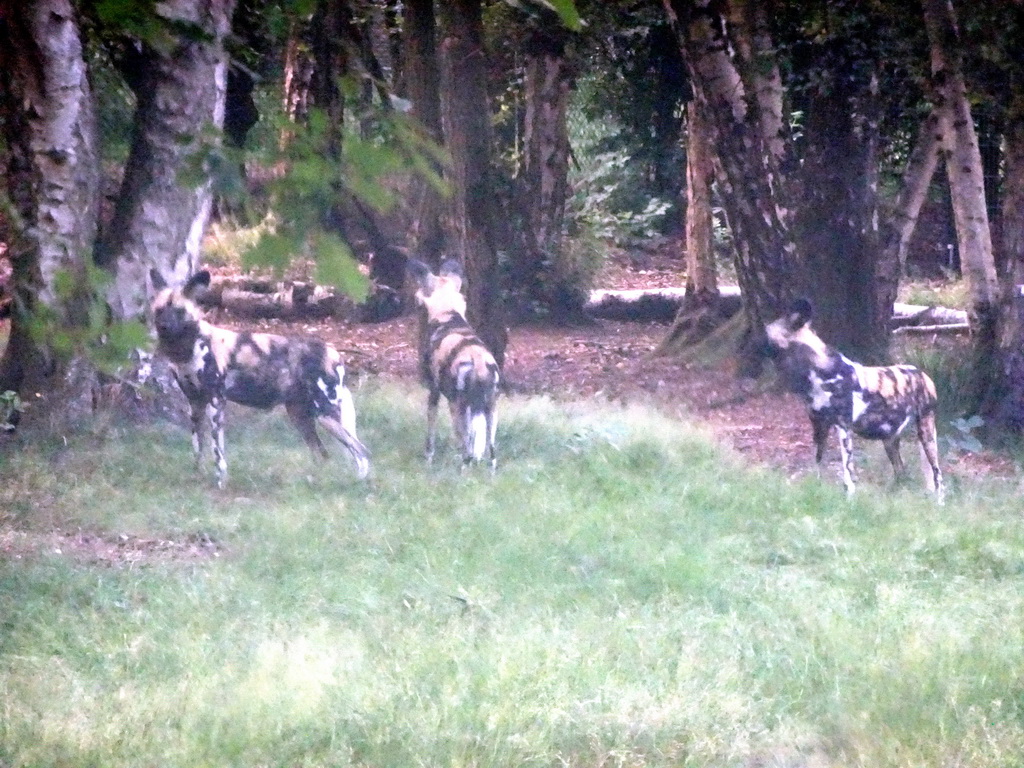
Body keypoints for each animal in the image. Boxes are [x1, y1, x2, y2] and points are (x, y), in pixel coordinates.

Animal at [149, 268, 370, 487]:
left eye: (179, 311)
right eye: (159, 310)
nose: (164, 326)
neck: (186, 349)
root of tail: (335, 354)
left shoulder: (216, 402)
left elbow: (218, 453)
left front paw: (220, 483)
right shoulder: (195, 404)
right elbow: (197, 449)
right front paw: (197, 478)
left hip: (325, 415)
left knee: (362, 451)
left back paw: (360, 484)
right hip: (300, 417)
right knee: (322, 454)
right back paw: (315, 482)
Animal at [405, 262, 497, 473]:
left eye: (417, 298)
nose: (413, 305)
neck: (448, 315)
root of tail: (478, 360)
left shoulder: (434, 392)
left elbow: (431, 432)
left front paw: (428, 459)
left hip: (460, 406)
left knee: (467, 451)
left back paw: (462, 474)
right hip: (490, 408)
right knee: (491, 452)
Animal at [741, 299, 946, 505]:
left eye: (763, 332)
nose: (746, 346)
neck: (819, 373)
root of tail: (923, 374)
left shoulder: (843, 427)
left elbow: (847, 472)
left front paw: (849, 499)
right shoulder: (819, 427)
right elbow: (818, 462)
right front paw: (816, 489)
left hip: (926, 432)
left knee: (938, 476)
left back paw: (939, 504)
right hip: (889, 439)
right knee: (901, 472)